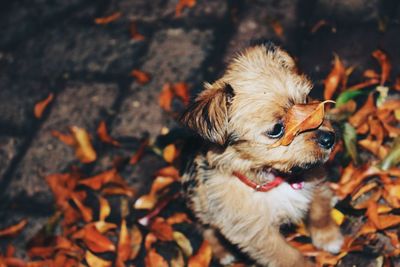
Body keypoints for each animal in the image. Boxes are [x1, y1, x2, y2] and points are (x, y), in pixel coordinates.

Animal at [181, 43, 344, 266]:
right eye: (276, 129)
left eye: (307, 101)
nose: (329, 139)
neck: (275, 178)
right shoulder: (258, 234)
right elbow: (289, 257)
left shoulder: (315, 177)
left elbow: (319, 208)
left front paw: (328, 236)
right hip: (200, 206)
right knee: (207, 230)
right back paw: (222, 252)